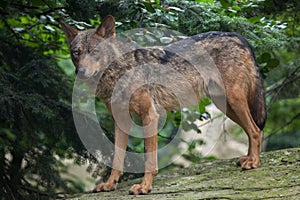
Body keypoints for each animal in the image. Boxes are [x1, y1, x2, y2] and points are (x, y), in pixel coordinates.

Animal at [59, 15, 266, 195]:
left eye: (94, 52)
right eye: (76, 52)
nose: (80, 72)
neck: (119, 72)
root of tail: (238, 36)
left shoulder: (150, 116)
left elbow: (149, 160)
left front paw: (144, 187)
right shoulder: (122, 121)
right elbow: (117, 159)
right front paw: (110, 184)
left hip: (234, 101)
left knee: (255, 130)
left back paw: (253, 162)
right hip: (227, 107)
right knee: (251, 130)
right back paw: (247, 158)